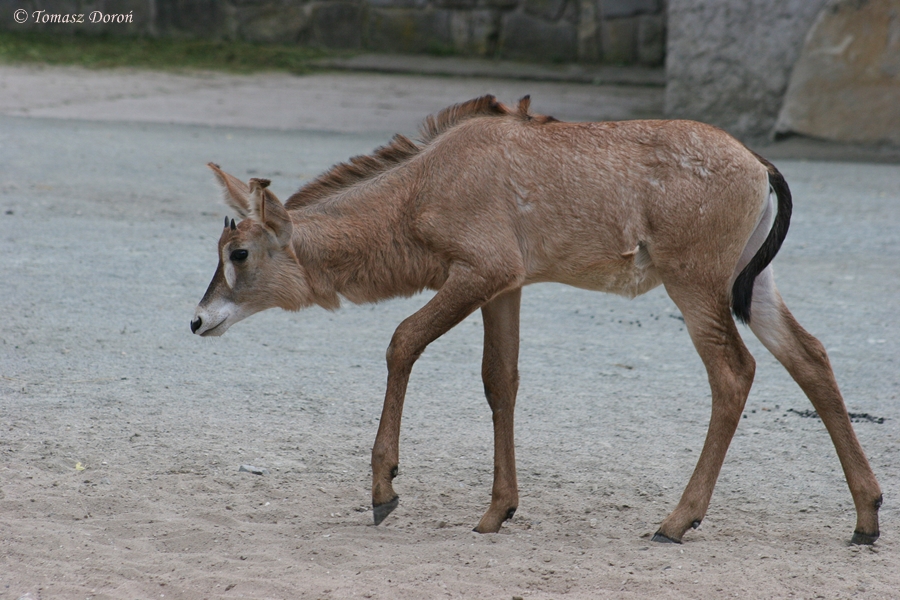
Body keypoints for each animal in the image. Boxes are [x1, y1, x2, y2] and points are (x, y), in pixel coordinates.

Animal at [191, 95, 882, 544]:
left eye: (238, 252)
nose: (198, 322)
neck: (423, 186)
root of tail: (758, 165)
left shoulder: (479, 272)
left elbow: (401, 341)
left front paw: (384, 490)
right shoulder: (506, 287)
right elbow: (501, 380)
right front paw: (498, 512)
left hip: (696, 284)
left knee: (734, 372)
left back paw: (676, 521)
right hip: (750, 286)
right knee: (810, 356)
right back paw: (866, 518)